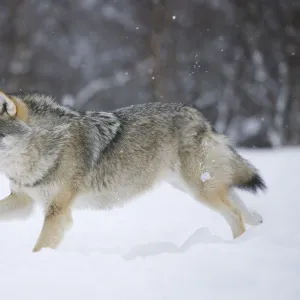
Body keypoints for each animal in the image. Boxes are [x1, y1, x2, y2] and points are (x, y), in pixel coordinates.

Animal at [0, 91, 266, 251]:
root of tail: (199, 116)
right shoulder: (23, 200)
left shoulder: (57, 212)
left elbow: (39, 247)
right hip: (195, 187)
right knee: (238, 202)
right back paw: (256, 224)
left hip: (199, 190)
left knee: (235, 214)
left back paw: (238, 247)